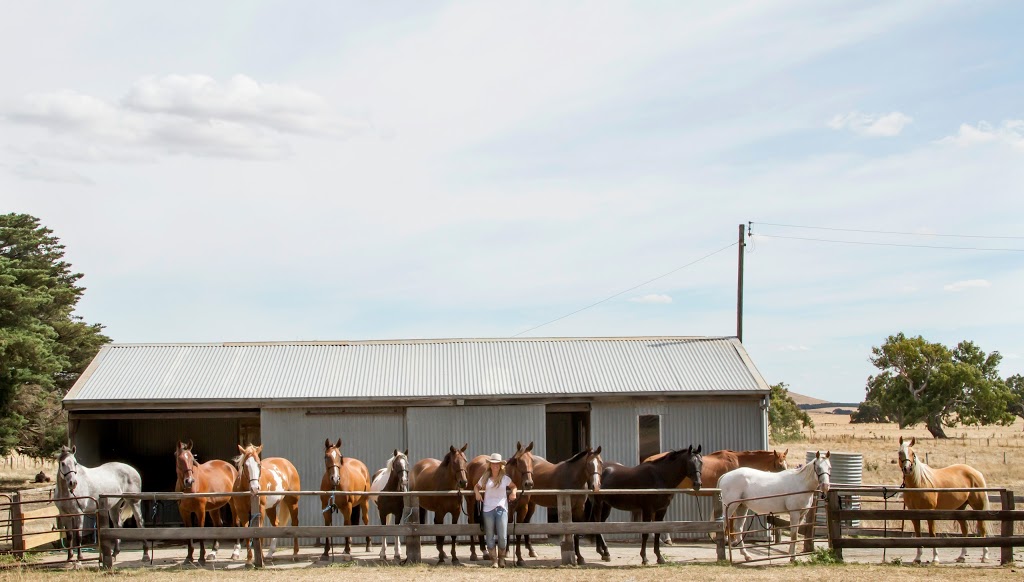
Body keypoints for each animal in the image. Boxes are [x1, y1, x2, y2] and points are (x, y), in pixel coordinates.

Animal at [638, 448, 790, 545]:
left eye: (786, 465)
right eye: (780, 466)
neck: (738, 462)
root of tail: (648, 460)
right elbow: (730, 519)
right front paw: (730, 539)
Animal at [901, 436, 987, 565]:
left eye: (912, 453)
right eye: (900, 452)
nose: (907, 468)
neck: (919, 483)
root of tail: (976, 472)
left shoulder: (930, 512)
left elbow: (932, 534)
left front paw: (935, 559)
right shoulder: (914, 514)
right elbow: (918, 535)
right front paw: (917, 558)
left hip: (978, 507)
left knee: (982, 528)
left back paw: (985, 556)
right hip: (960, 508)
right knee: (965, 529)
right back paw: (961, 556)